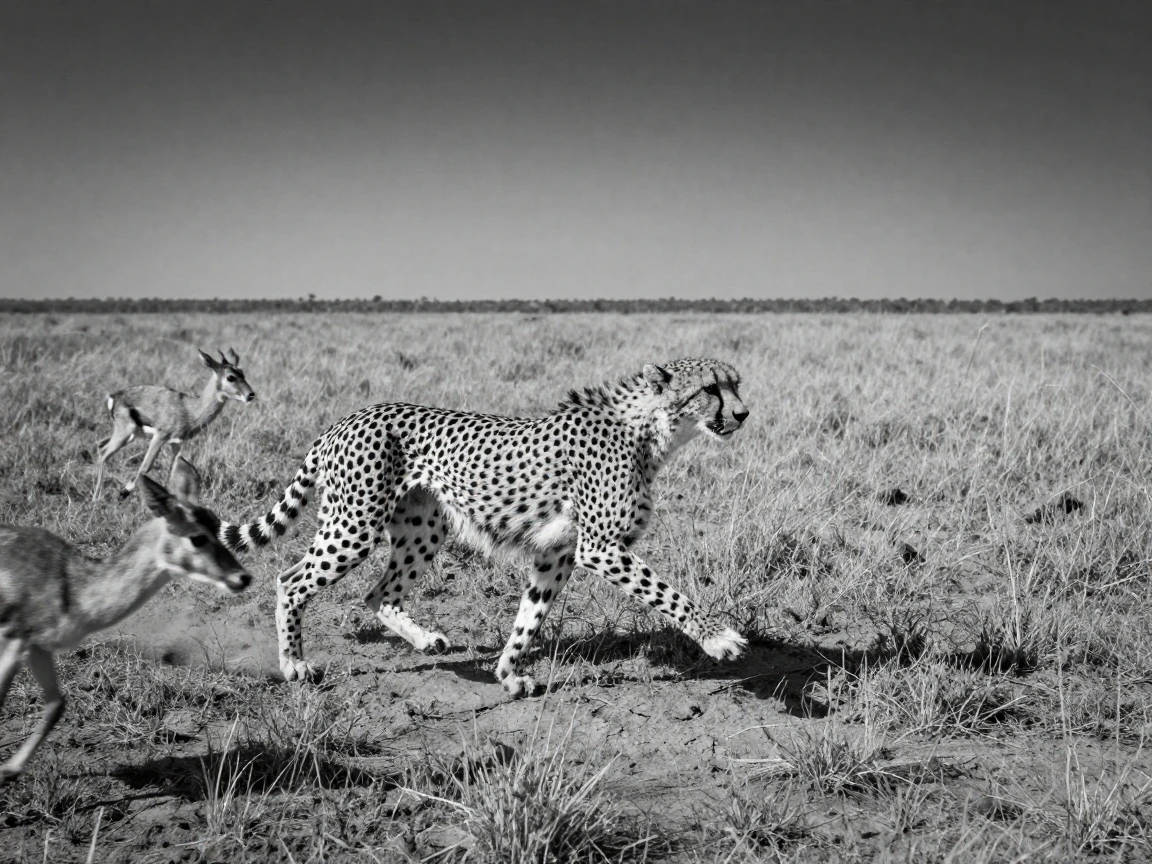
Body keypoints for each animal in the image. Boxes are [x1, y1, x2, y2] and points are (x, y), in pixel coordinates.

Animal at [219, 358, 750, 697]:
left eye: (736, 385)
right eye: (710, 389)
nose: (743, 413)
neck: (650, 430)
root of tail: (347, 417)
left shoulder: (557, 553)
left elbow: (529, 618)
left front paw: (507, 673)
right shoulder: (599, 547)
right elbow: (667, 592)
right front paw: (717, 638)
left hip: (423, 529)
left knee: (379, 592)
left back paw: (425, 640)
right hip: (354, 524)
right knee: (290, 580)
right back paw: (293, 663)